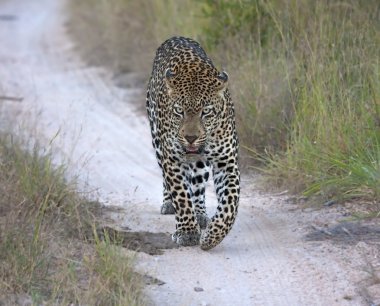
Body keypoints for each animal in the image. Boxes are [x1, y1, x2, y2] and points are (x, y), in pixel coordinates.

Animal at [146, 37, 240, 250]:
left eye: (206, 112)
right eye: (179, 111)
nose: (190, 138)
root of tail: (177, 37)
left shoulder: (226, 163)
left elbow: (230, 202)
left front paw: (212, 236)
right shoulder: (171, 159)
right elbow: (181, 195)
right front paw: (188, 232)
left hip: (200, 164)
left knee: (197, 186)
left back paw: (201, 214)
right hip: (157, 143)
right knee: (168, 181)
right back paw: (169, 204)